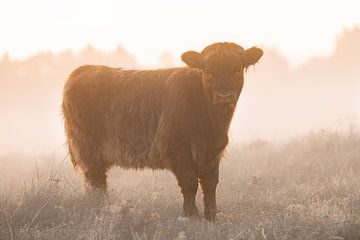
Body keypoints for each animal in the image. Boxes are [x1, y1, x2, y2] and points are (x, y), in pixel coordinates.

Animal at [62, 42, 262, 220]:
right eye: (209, 72)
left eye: (237, 70)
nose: (224, 96)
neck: (212, 123)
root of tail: (84, 69)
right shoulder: (178, 146)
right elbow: (189, 182)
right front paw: (191, 215)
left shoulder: (213, 151)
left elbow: (210, 183)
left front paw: (212, 215)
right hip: (88, 147)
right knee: (95, 179)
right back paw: (98, 207)